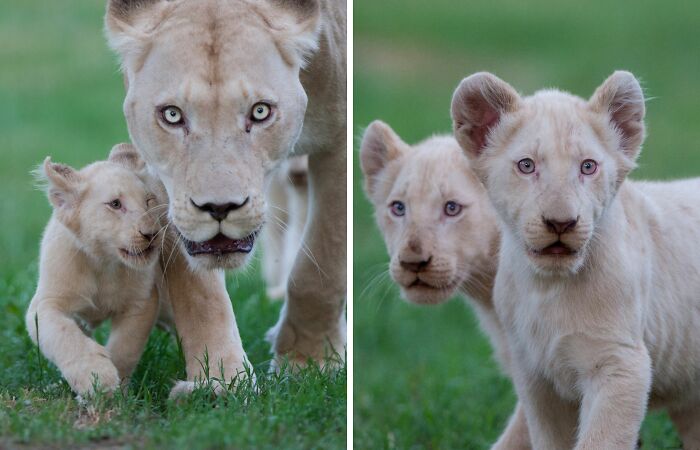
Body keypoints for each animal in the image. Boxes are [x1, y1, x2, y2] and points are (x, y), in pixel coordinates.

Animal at [26, 144, 164, 396]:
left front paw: (115, 388)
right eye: (115, 204)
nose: (151, 234)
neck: (103, 264)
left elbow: (125, 346)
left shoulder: (143, 301)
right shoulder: (46, 304)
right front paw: (95, 376)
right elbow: (65, 335)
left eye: (149, 201)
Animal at [104, 0, 346, 392]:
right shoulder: (162, 175)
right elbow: (198, 291)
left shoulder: (338, 140)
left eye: (260, 111)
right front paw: (219, 382)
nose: (220, 207)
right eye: (172, 115)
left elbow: (323, 264)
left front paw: (309, 363)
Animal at [451, 71, 700, 449]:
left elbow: (600, 440)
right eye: (527, 166)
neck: (548, 288)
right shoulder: (536, 378)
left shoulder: (621, 364)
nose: (560, 223)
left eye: (588, 166)